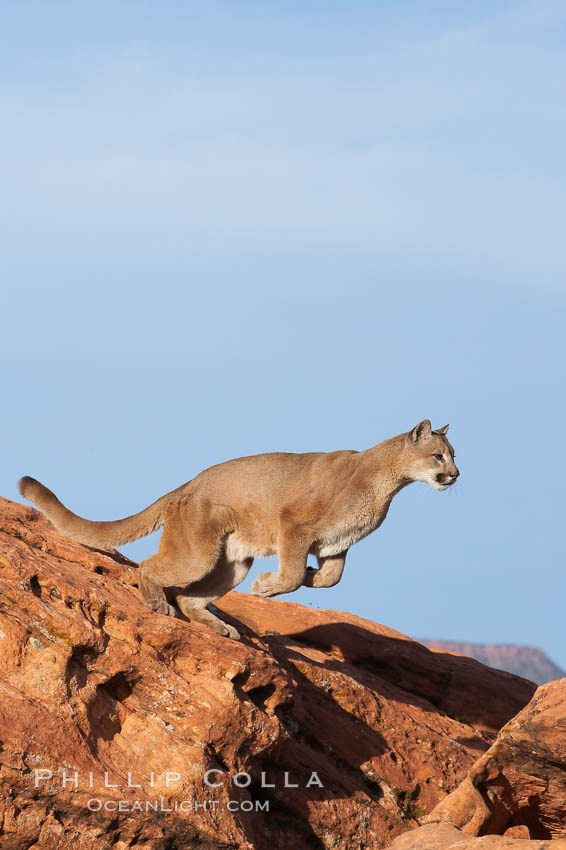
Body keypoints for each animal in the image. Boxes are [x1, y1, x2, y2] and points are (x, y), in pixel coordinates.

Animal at [18, 418, 462, 636]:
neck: (388, 482)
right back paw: (158, 603)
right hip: (198, 554)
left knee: (191, 597)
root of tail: (186, 485)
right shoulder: (293, 525)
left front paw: (310, 577)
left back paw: (220, 626)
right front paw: (268, 587)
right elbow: (292, 574)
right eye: (438, 456)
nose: (456, 476)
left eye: (452, 454)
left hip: (232, 563)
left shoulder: (337, 544)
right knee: (150, 567)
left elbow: (329, 579)